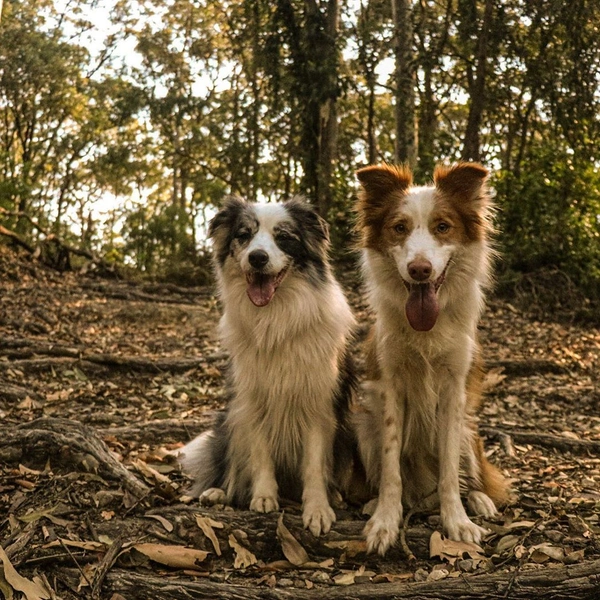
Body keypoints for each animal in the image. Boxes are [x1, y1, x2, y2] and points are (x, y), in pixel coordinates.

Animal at [354, 163, 508, 552]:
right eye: (399, 228)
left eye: (442, 226)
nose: (420, 269)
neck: (426, 330)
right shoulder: (390, 386)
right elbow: (391, 467)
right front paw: (385, 521)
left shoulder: (454, 388)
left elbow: (450, 471)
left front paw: (457, 521)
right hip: (363, 426)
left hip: (470, 431)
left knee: (470, 475)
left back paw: (480, 501)